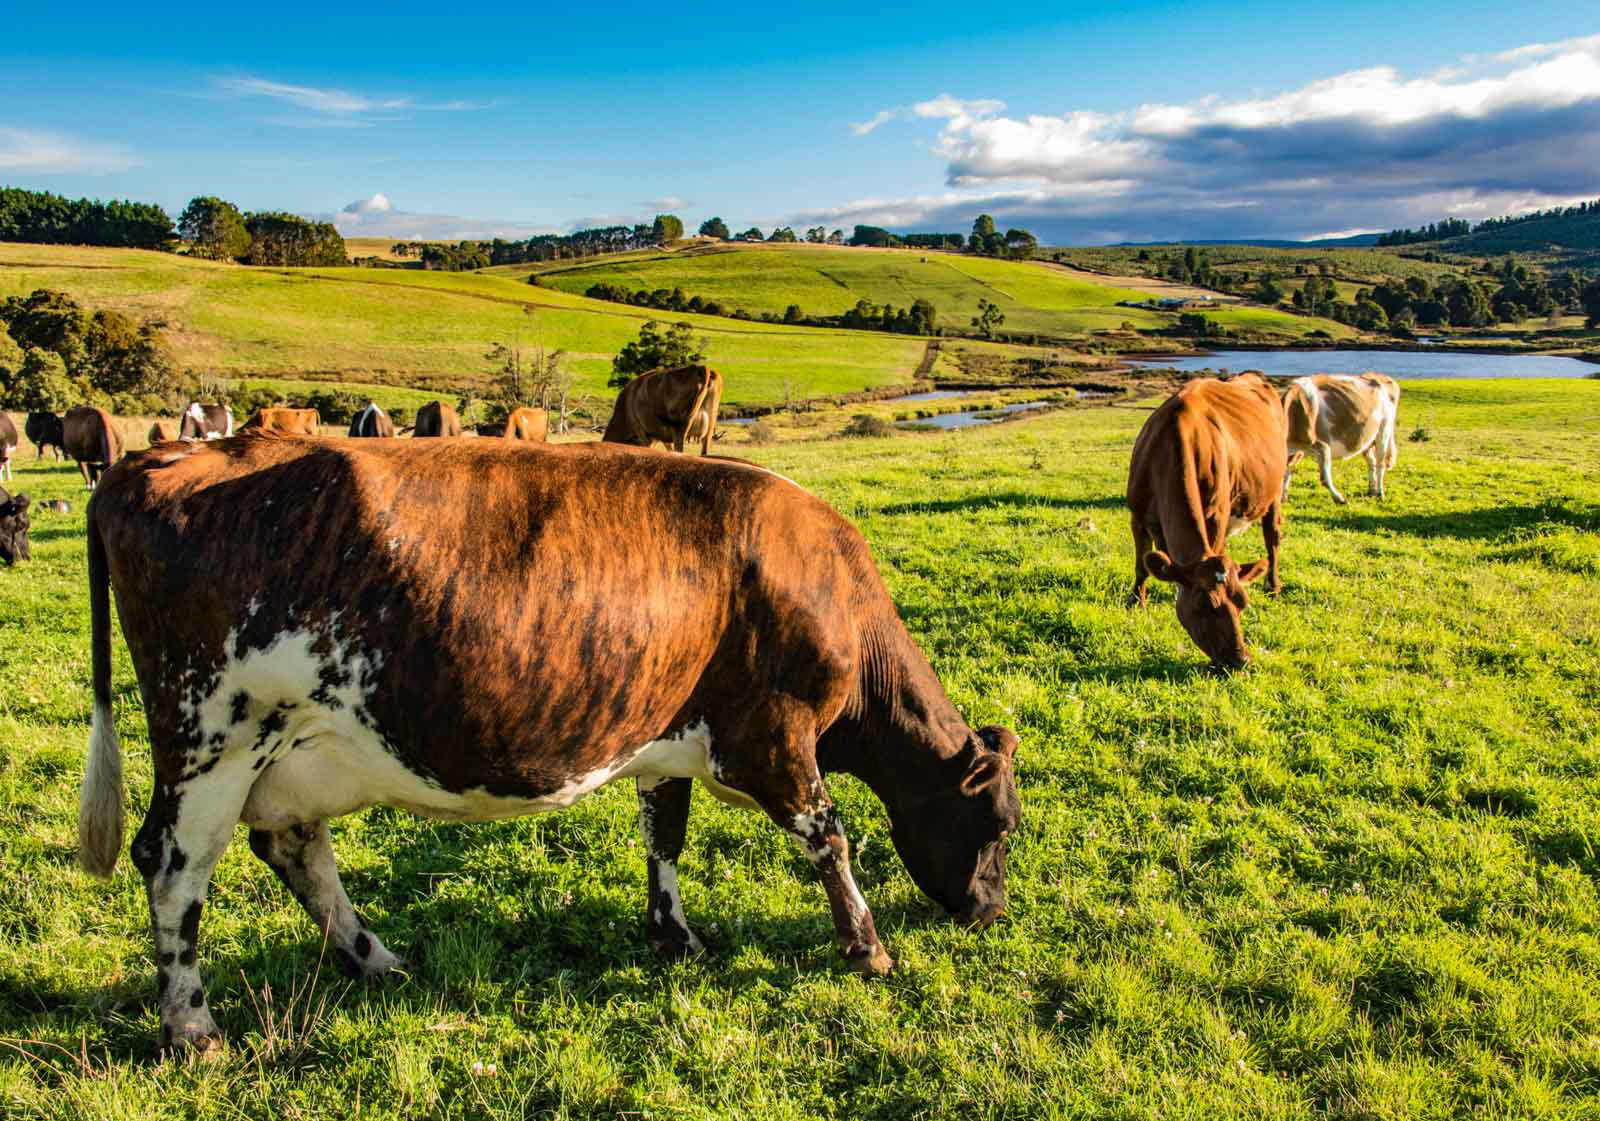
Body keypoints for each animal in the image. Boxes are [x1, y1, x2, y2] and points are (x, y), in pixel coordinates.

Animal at [77, 436, 1020, 1052]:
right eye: (1001, 825)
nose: (991, 910)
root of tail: (156, 461)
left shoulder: (667, 739)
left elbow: (664, 836)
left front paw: (673, 934)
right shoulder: (775, 738)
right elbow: (830, 836)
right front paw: (867, 946)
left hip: (290, 749)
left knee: (297, 848)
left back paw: (377, 960)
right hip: (211, 734)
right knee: (174, 865)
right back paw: (192, 1025)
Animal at [1126, 374, 1286, 671]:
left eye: (1242, 602)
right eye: (1204, 605)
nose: (1239, 660)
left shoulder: (1215, 517)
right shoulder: (1137, 516)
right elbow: (1142, 566)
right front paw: (1136, 604)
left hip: (1274, 490)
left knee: (1272, 538)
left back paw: (1273, 586)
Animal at [1281, 372, 1401, 504]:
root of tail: (1378, 376)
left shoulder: (1321, 446)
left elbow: (1324, 478)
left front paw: (1339, 498)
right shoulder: (1296, 451)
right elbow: (1287, 470)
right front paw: (1282, 498)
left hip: (1384, 429)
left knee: (1380, 463)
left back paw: (1380, 494)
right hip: (1367, 438)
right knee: (1371, 462)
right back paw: (1371, 491)